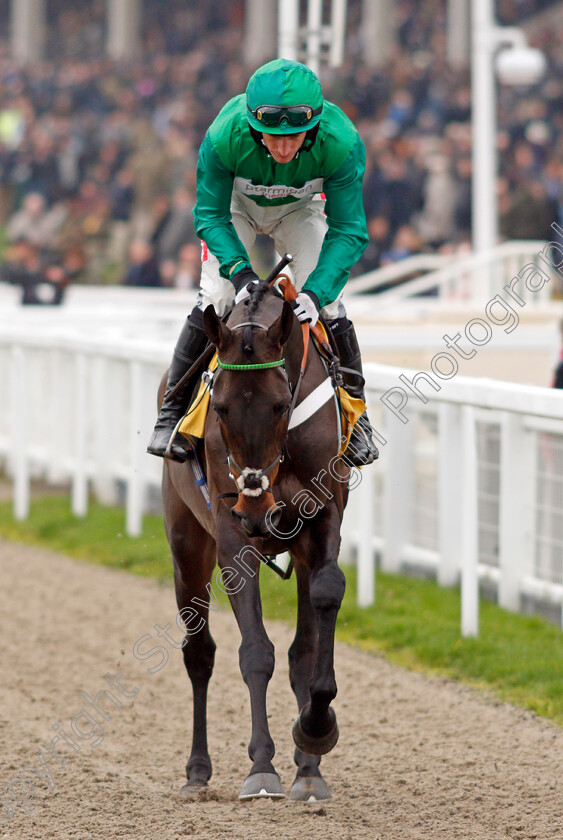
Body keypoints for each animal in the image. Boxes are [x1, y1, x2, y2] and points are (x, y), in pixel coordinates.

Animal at [162, 280, 352, 800]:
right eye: (222, 408)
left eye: (281, 405)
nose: (254, 509)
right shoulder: (232, 541)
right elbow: (255, 652)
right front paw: (262, 767)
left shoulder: (321, 521)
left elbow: (321, 611)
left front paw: (315, 732)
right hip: (187, 545)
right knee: (199, 654)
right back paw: (197, 771)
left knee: (299, 650)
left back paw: (308, 768)